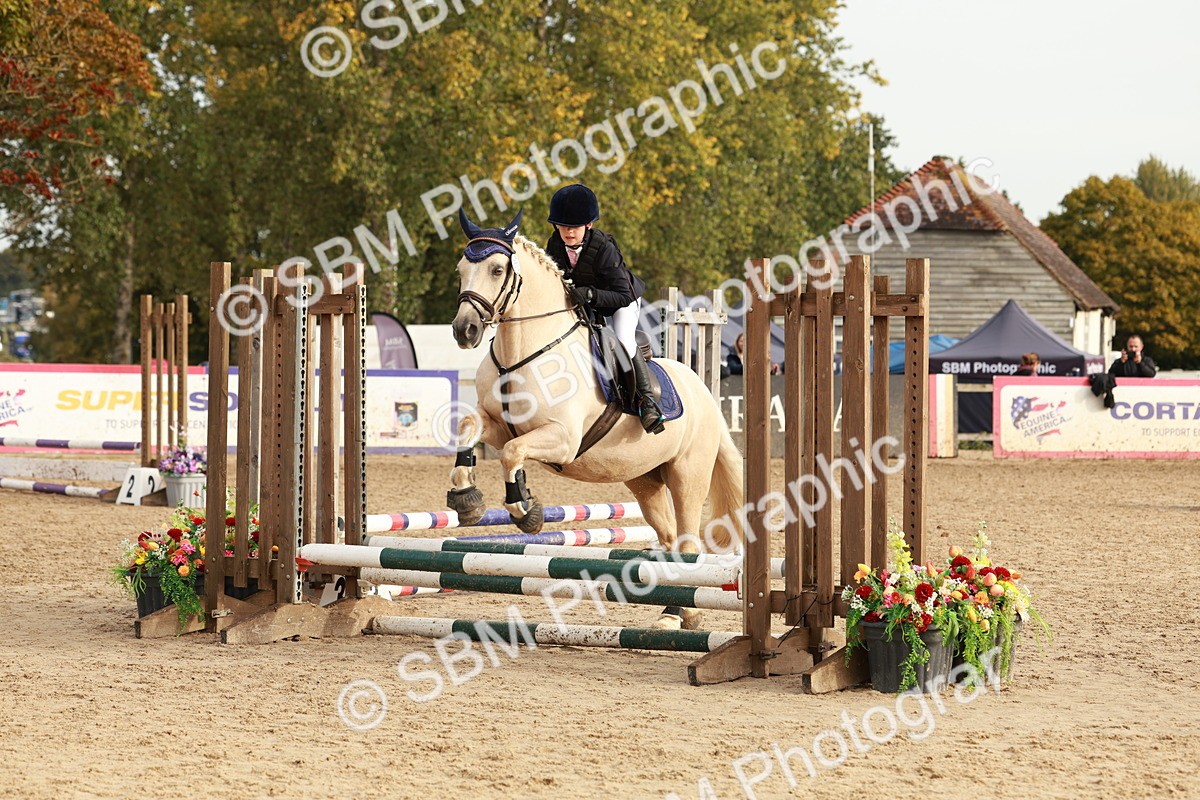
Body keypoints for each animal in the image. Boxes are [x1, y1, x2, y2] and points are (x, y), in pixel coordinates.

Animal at [447, 210, 744, 629]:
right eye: (460, 270)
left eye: (497, 269)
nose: (465, 330)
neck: (523, 349)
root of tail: (704, 392)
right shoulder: (499, 424)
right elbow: (470, 430)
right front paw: (467, 499)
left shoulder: (562, 438)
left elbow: (511, 453)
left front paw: (525, 510)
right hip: (645, 480)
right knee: (670, 537)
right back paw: (676, 612)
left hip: (688, 475)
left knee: (688, 540)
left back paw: (679, 614)